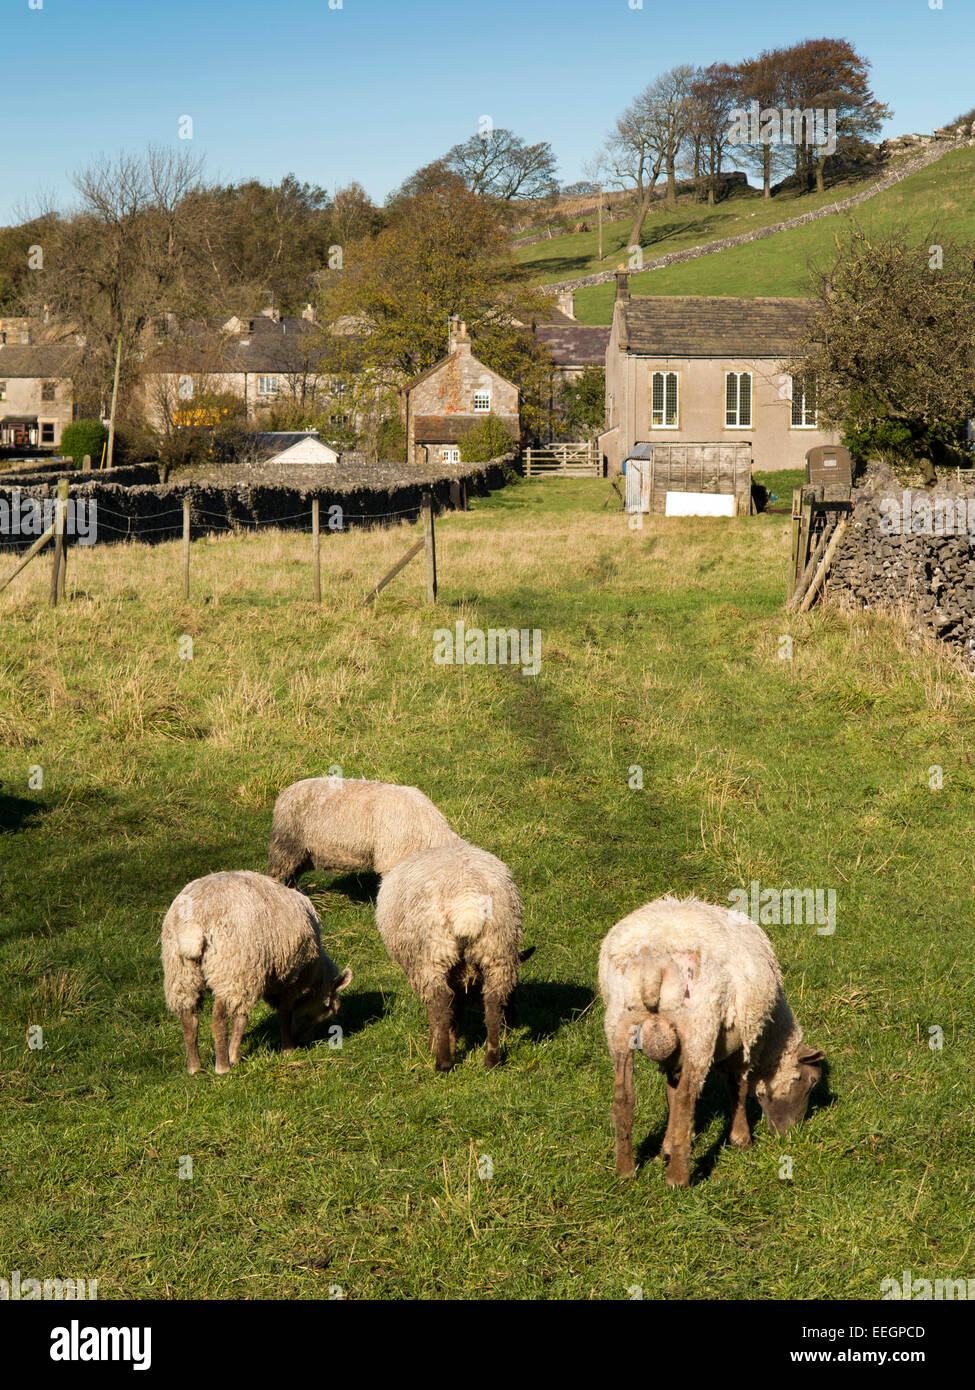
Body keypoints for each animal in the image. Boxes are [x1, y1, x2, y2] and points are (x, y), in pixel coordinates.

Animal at [161, 870, 352, 1075]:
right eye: (329, 1010)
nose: (303, 1040)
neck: (315, 974)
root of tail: (192, 923)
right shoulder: (288, 982)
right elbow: (282, 1014)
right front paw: (287, 1048)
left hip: (182, 973)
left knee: (189, 1019)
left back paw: (195, 1067)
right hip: (233, 970)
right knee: (220, 1021)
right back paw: (223, 1065)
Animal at [267, 777, 463, 887]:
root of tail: (285, 793)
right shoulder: (392, 859)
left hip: (304, 853)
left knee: (292, 876)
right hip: (286, 845)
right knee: (277, 874)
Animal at [375, 842, 531, 1071]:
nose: (512, 1020)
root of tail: (467, 897)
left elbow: (439, 1009)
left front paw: (437, 1043)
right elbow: (457, 1005)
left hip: (431, 954)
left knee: (440, 1003)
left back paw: (443, 1062)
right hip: (498, 947)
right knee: (493, 1002)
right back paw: (491, 1059)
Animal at [599, 894, 825, 1187]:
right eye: (812, 1082)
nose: (787, 1135)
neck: (773, 1036)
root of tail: (653, 964)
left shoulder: (675, 1057)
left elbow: (672, 1092)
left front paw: (670, 1145)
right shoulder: (743, 1047)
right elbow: (736, 1088)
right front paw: (741, 1140)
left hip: (620, 1024)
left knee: (624, 1095)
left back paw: (625, 1169)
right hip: (700, 1025)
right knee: (687, 1096)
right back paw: (678, 1178)